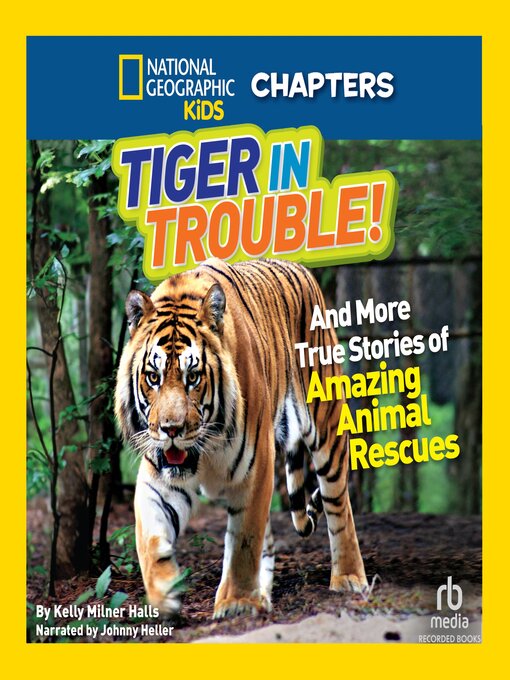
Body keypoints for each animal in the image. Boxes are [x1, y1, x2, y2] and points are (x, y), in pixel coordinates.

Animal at [115, 257, 367, 618]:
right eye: (153, 376)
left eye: (193, 377)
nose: (171, 430)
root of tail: (301, 268)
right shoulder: (158, 474)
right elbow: (148, 536)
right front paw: (165, 591)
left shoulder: (256, 467)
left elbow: (245, 540)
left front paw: (236, 602)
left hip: (326, 426)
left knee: (338, 503)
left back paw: (348, 578)